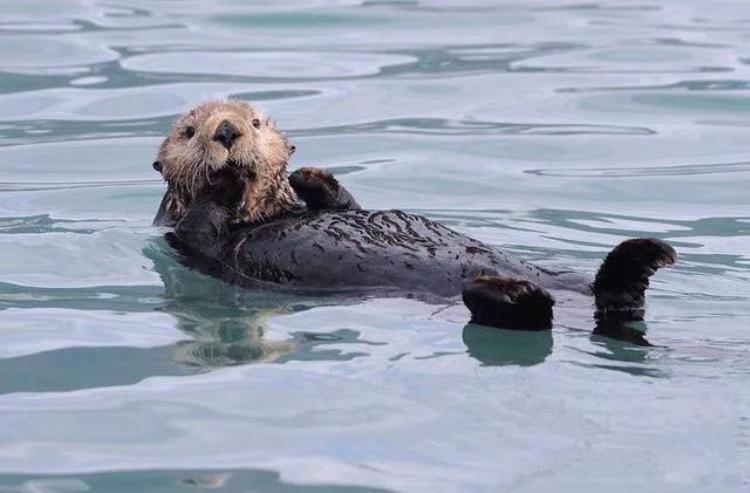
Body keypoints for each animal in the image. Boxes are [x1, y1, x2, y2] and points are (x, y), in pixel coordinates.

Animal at [156, 99, 680, 330]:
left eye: (257, 122)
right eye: (188, 132)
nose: (227, 131)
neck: (265, 215)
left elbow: (345, 203)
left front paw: (309, 175)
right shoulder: (191, 242)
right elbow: (200, 223)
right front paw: (225, 180)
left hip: (571, 277)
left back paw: (642, 256)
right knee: (529, 315)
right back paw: (515, 294)